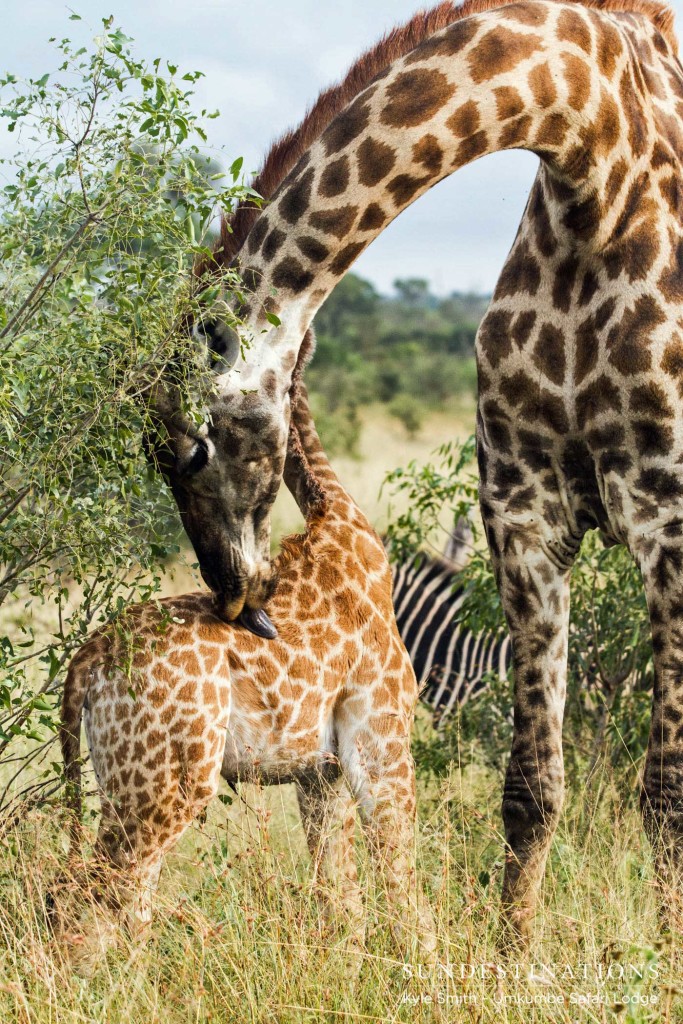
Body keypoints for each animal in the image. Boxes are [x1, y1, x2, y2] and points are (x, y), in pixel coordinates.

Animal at [54, 370, 438, 966]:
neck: (344, 522)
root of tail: (87, 661)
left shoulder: (319, 774)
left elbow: (341, 898)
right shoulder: (383, 736)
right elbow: (401, 877)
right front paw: (424, 974)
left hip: (125, 779)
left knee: (116, 895)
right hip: (167, 781)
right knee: (101, 891)